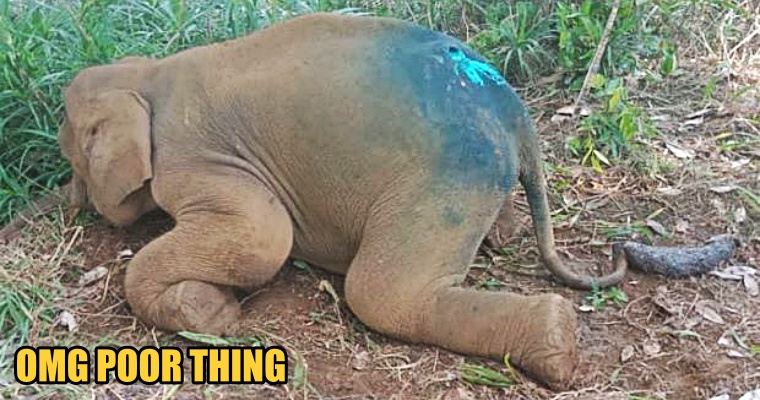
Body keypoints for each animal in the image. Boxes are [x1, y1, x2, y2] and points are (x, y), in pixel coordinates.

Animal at [56, 13, 627, 389]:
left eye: (70, 151)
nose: (70, 201)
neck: (148, 75)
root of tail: (513, 110)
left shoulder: (195, 156)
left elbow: (264, 238)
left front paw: (212, 315)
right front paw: (212, 310)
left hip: (443, 178)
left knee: (381, 294)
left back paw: (556, 344)